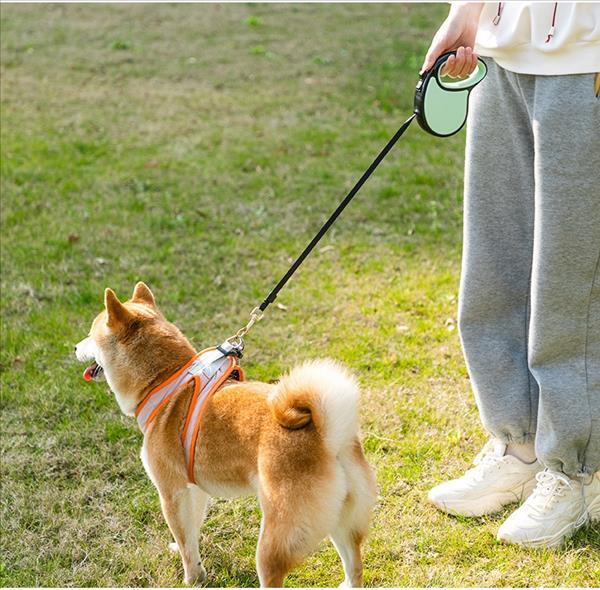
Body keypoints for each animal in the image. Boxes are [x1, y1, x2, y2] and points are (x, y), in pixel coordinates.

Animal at [74, 284, 376, 588]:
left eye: (89, 333)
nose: (74, 347)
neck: (166, 381)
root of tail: (328, 437)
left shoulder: (171, 492)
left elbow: (185, 541)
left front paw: (192, 577)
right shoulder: (193, 490)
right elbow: (190, 534)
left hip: (273, 542)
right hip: (342, 522)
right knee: (355, 566)